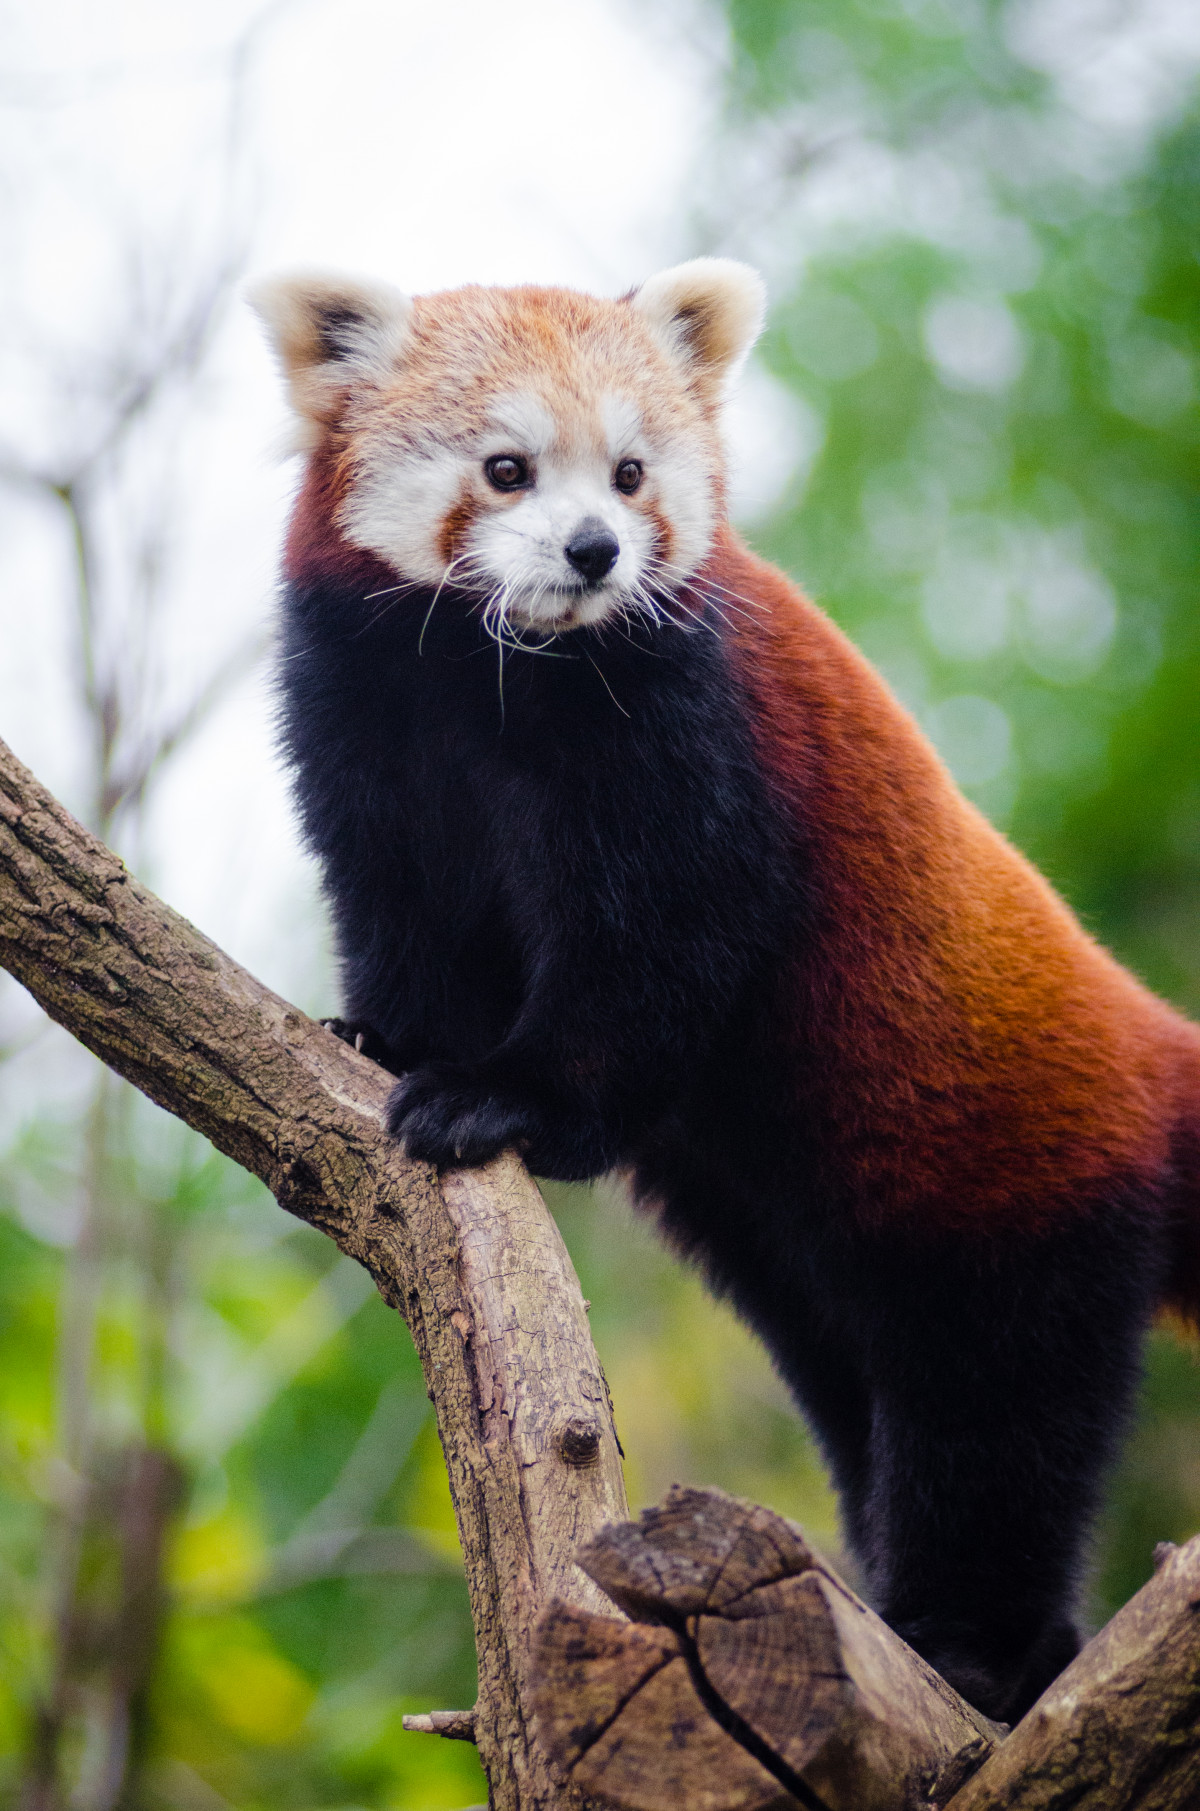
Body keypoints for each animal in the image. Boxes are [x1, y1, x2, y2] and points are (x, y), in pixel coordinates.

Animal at [253, 262, 1200, 1716]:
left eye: (632, 472)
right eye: (508, 468)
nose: (595, 551)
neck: (493, 674)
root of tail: (1150, 1047)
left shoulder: (693, 736)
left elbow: (654, 949)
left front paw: (501, 1096)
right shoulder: (365, 714)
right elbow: (401, 907)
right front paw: (383, 1035)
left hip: (1018, 1175)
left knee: (997, 1414)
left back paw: (977, 1643)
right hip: (804, 1242)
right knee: (864, 1384)